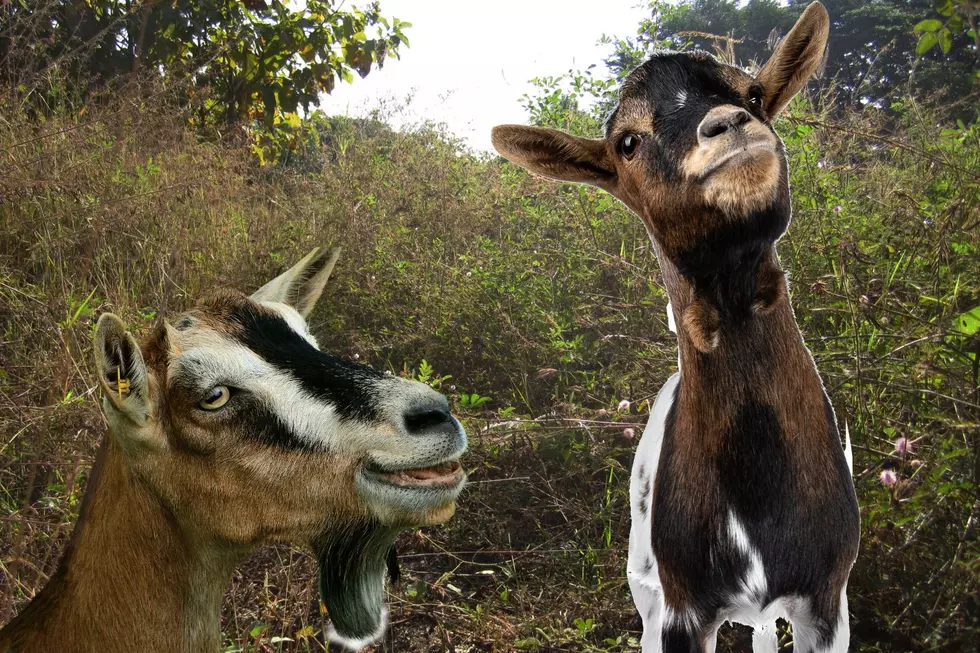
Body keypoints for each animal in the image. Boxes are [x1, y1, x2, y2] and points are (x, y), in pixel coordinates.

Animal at [491, 3, 859, 651]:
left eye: (753, 93)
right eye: (627, 142)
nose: (730, 124)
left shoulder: (827, 599)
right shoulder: (684, 606)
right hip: (646, 582)